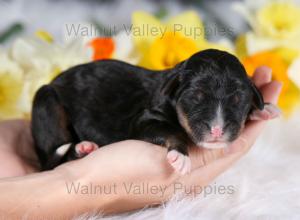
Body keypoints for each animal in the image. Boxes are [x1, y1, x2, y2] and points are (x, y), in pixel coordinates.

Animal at [30, 49, 278, 174]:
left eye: (237, 99)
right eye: (195, 97)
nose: (217, 130)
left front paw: (262, 110)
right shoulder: (144, 119)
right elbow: (172, 132)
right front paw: (181, 156)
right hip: (46, 101)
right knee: (51, 161)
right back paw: (81, 149)